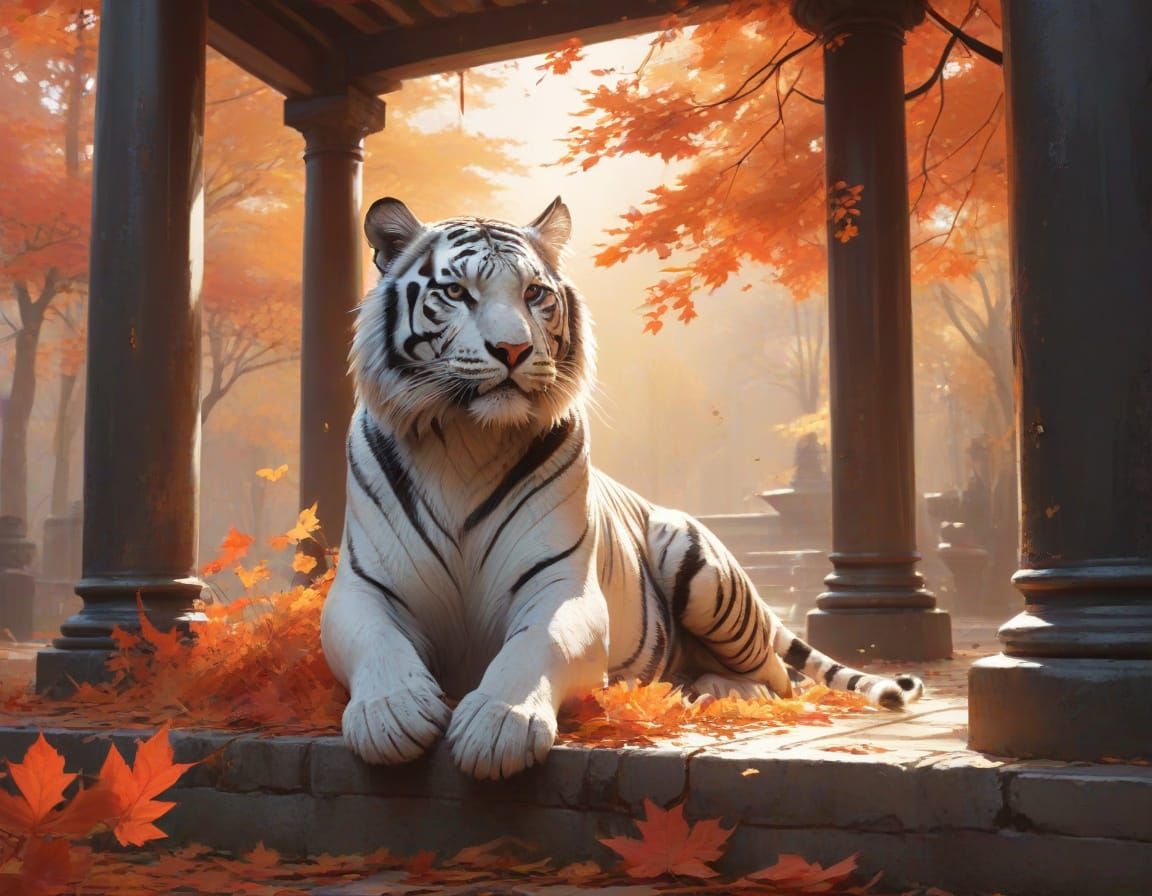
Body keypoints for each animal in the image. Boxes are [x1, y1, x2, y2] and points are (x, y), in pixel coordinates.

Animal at [320, 196, 924, 780]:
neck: (468, 439)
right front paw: (390, 712)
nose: (513, 350)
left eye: (533, 293)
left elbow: (534, 646)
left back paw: (716, 692)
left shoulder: (562, 586)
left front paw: (498, 724)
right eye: (455, 292)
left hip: (693, 559)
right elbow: (378, 642)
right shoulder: (364, 587)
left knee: (781, 680)